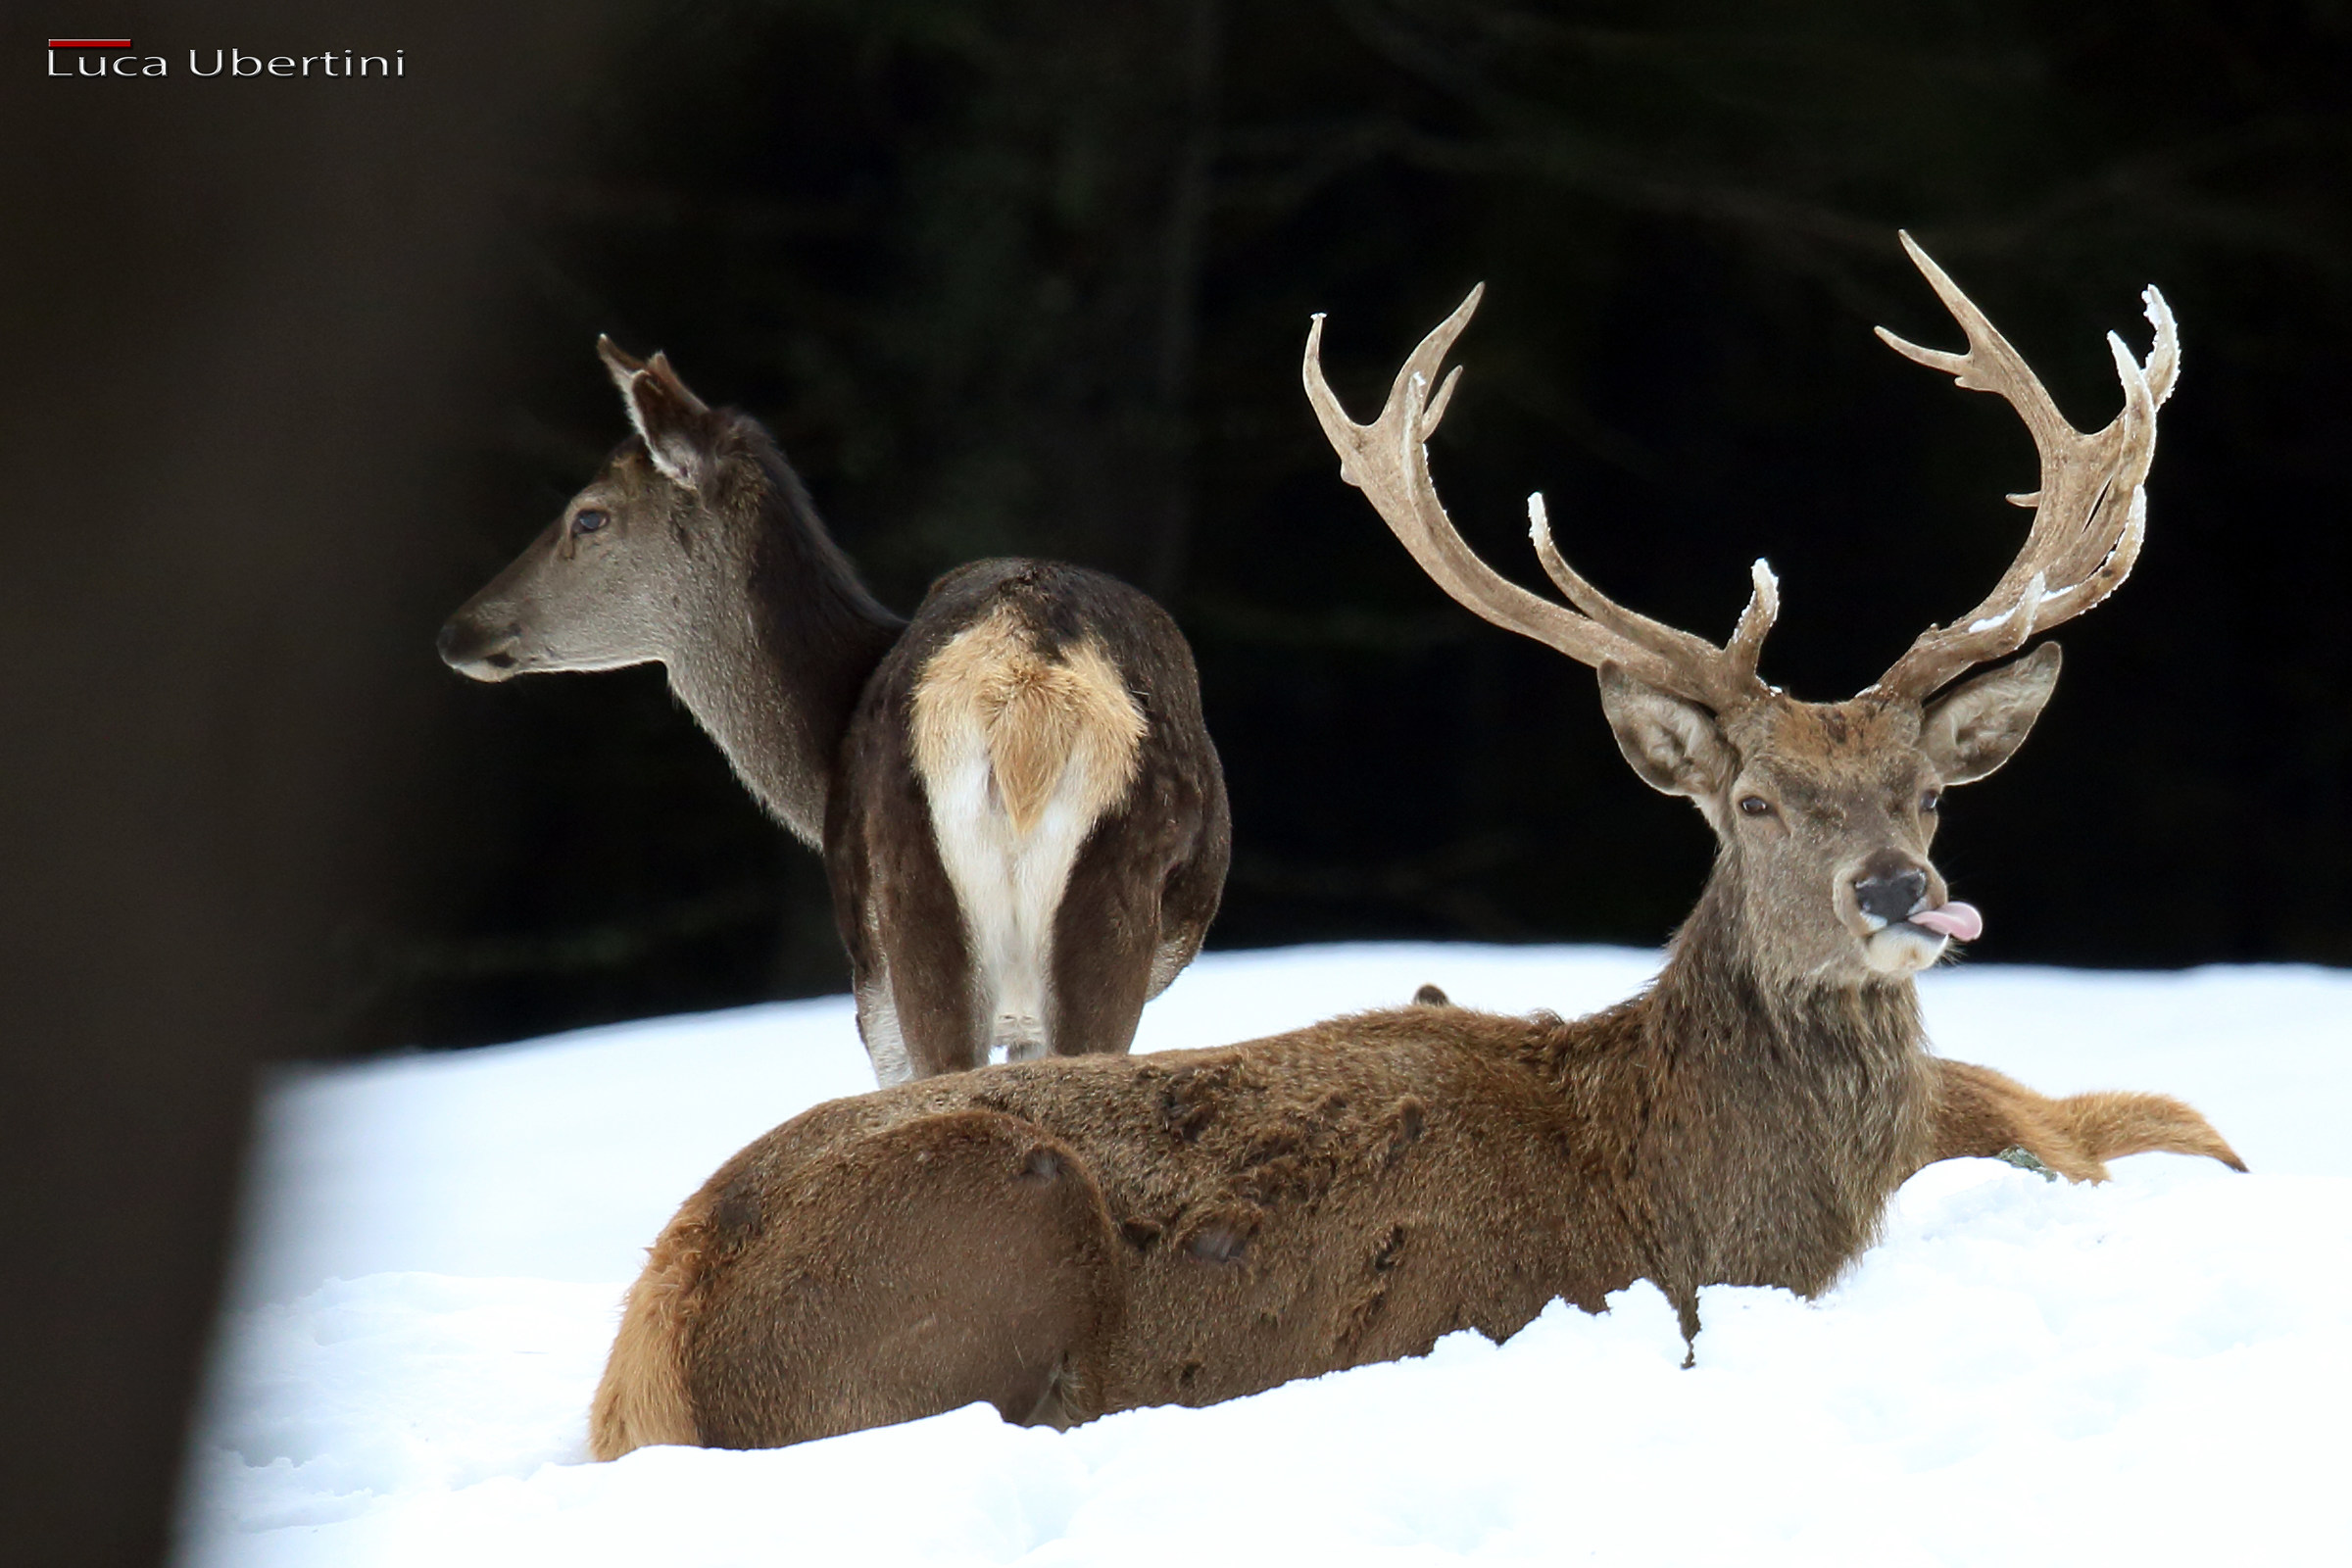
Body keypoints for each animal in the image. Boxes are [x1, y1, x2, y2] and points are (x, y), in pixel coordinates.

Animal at [586, 234, 2239, 1461]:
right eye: (1754, 801)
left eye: (1932, 794)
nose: (1902, 893)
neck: (1688, 1197)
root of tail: (647, 1338)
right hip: (985, 1228)